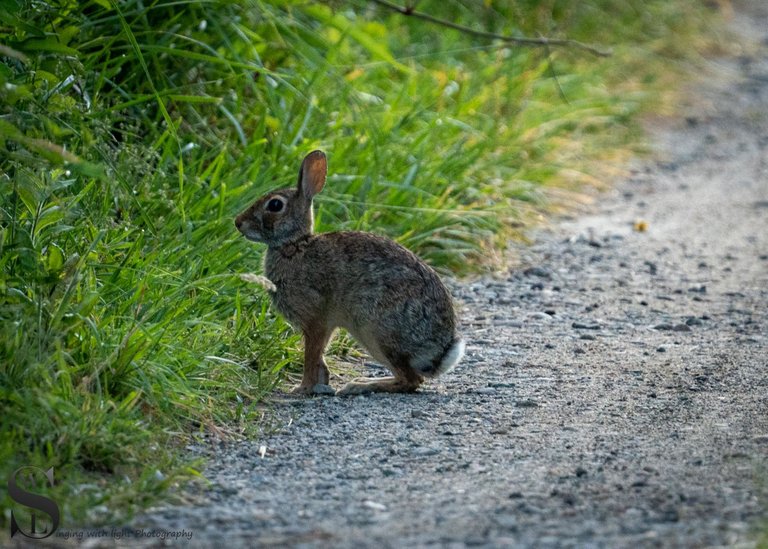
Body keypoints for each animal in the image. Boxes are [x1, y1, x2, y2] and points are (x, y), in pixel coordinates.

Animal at [234, 150, 462, 394]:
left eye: (275, 205)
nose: (238, 222)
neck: (294, 245)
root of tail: (441, 349)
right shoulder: (325, 325)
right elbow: (319, 356)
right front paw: (321, 383)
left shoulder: (316, 319)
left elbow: (311, 356)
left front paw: (302, 388)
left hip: (376, 331)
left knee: (410, 380)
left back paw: (359, 385)